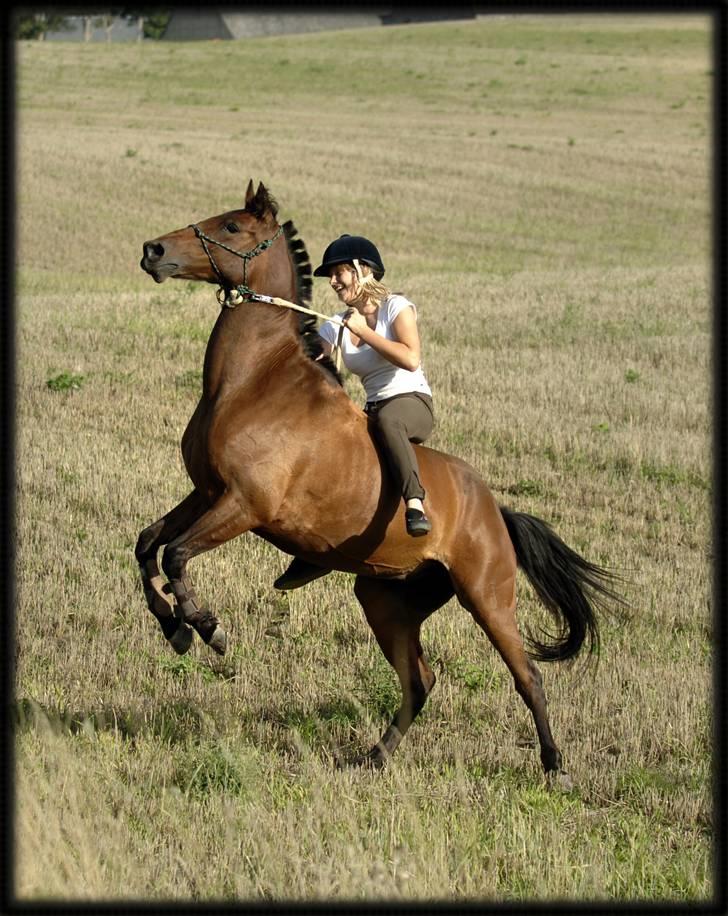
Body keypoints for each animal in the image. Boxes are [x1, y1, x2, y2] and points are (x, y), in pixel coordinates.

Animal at [137, 180, 623, 787]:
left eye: (231, 226)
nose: (153, 250)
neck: (252, 383)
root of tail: (495, 510)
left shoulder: (244, 506)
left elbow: (176, 554)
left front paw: (206, 627)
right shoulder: (205, 494)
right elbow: (147, 544)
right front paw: (173, 628)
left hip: (487, 597)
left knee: (526, 676)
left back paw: (555, 767)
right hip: (385, 599)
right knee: (420, 680)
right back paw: (374, 756)